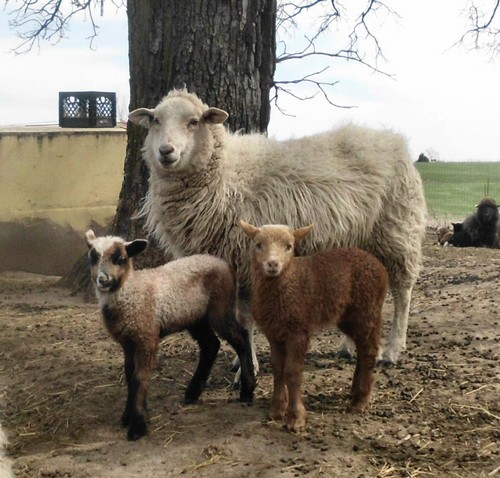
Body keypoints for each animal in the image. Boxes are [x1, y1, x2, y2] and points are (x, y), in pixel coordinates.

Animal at [85, 229, 254, 440]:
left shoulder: (147, 337)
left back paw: (247, 390)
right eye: (92, 257)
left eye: (121, 258)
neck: (130, 292)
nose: (103, 280)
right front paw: (128, 415)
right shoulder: (128, 343)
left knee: (241, 338)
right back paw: (193, 392)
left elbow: (139, 377)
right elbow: (129, 375)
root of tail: (223, 264)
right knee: (211, 345)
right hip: (195, 318)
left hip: (220, 310)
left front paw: (138, 426)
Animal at [128, 90, 426, 374]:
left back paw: (392, 350)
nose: (166, 151)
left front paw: (247, 367)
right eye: (155, 120)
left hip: (397, 231)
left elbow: (245, 318)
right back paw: (348, 348)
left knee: (403, 291)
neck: (225, 176)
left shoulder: (247, 261)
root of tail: (395, 140)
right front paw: (239, 360)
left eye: (193, 122)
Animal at [240, 220, 388, 434]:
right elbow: (278, 368)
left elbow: (292, 371)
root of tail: (378, 265)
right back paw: (354, 391)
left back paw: (360, 401)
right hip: (349, 316)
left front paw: (295, 418)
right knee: (362, 348)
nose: (272, 264)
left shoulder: (298, 330)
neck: (287, 282)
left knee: (369, 350)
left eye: (289, 246)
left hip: (367, 309)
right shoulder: (274, 332)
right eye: (258, 245)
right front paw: (276, 410)